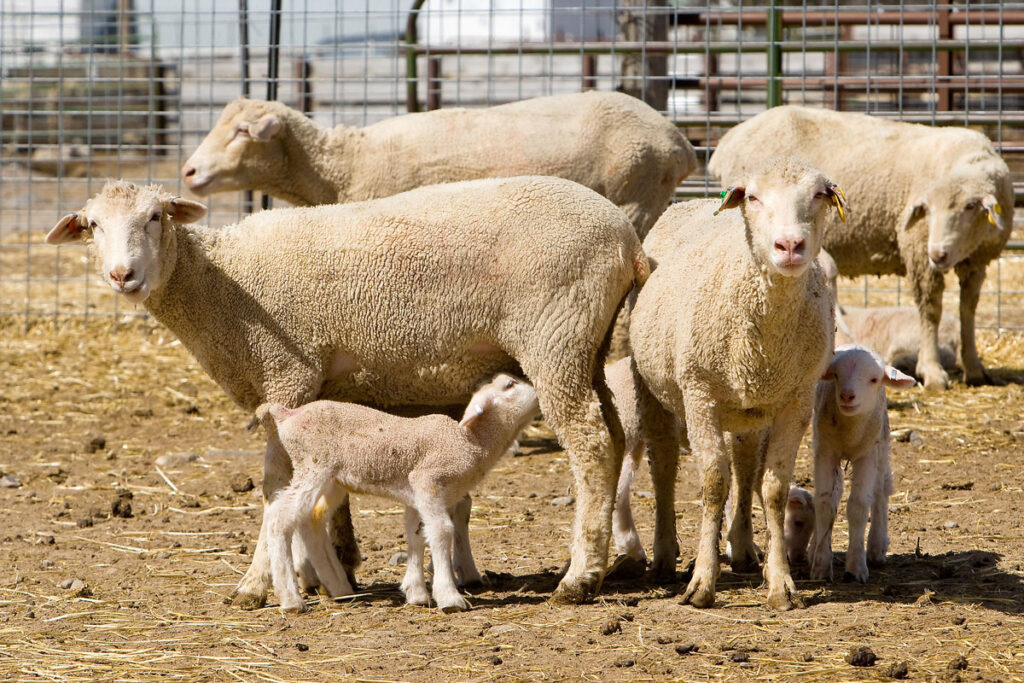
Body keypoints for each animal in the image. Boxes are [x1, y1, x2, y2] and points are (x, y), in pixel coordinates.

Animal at [254, 373, 539, 613]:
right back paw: (291, 599)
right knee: (280, 517)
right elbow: (442, 531)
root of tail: (289, 413)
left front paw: (416, 593)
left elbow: (417, 535)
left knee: (310, 518)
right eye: (510, 384)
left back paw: (341, 590)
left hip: (332, 479)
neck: (471, 442)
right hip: (313, 465)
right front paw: (449, 597)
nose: (538, 391)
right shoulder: (427, 481)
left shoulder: (417, 496)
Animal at [629, 157, 840, 610]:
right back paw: (664, 554)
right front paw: (702, 583)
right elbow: (713, 485)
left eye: (819, 194)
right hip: (656, 388)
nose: (790, 246)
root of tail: (696, 200)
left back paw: (743, 547)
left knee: (745, 469)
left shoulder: (796, 400)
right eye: (754, 197)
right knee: (664, 467)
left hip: (750, 408)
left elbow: (772, 488)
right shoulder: (699, 394)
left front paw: (780, 583)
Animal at [708, 105, 1014, 390]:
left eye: (971, 206)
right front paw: (933, 371)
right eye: (927, 209)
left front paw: (973, 367)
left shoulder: (976, 260)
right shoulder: (918, 251)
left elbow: (968, 309)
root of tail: (728, 139)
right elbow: (931, 310)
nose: (938, 254)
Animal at [809, 344, 916, 583]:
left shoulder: (867, 455)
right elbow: (824, 504)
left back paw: (876, 547)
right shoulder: (825, 451)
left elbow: (858, 506)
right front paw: (820, 565)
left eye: (874, 379)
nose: (847, 395)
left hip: (881, 444)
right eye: (836, 375)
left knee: (881, 490)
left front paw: (856, 567)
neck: (850, 432)